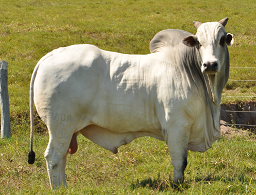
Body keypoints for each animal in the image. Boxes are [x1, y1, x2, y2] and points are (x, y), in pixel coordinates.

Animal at [28, 18, 234, 189]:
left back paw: (64, 187)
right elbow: (180, 162)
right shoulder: (177, 126)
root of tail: (51, 55)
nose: (210, 64)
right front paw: (178, 185)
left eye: (222, 40)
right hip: (61, 125)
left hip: (66, 130)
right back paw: (59, 189)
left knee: (62, 157)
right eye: (199, 42)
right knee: (54, 157)